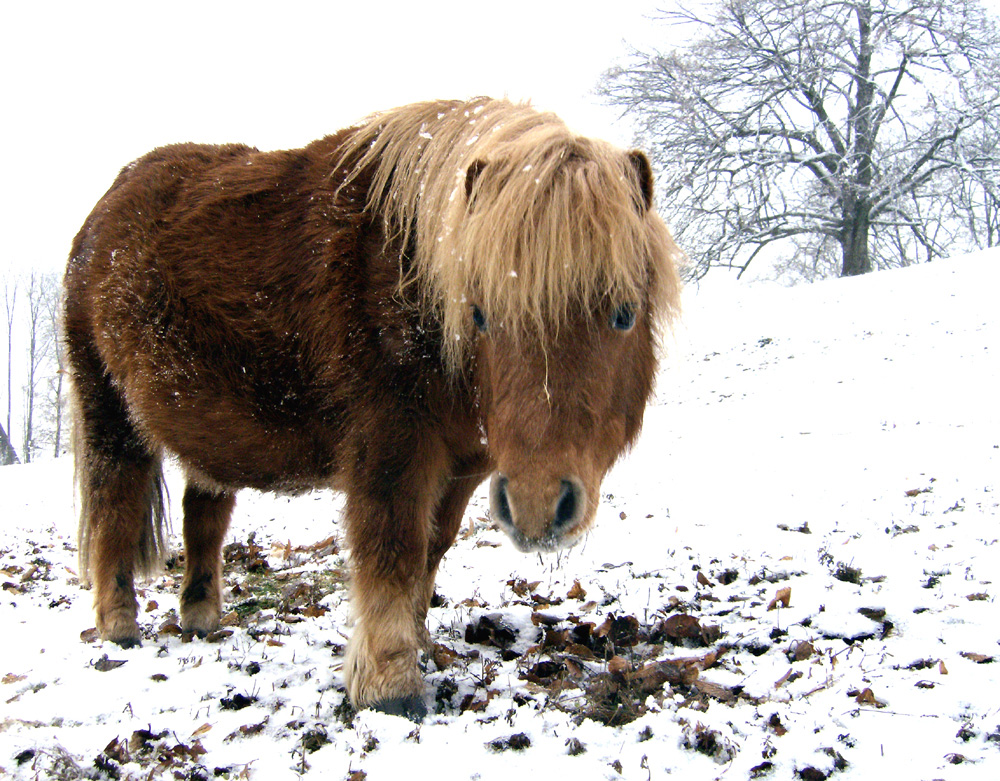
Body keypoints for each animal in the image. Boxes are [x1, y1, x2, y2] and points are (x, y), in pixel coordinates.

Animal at [64, 97, 680, 720]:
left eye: (624, 314)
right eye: (481, 315)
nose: (537, 507)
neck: (416, 277)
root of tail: (104, 211)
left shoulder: (465, 462)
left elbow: (431, 549)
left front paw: (421, 645)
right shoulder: (391, 443)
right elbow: (392, 549)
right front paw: (390, 684)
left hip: (209, 431)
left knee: (203, 515)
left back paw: (200, 617)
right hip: (108, 407)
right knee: (116, 500)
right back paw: (119, 627)